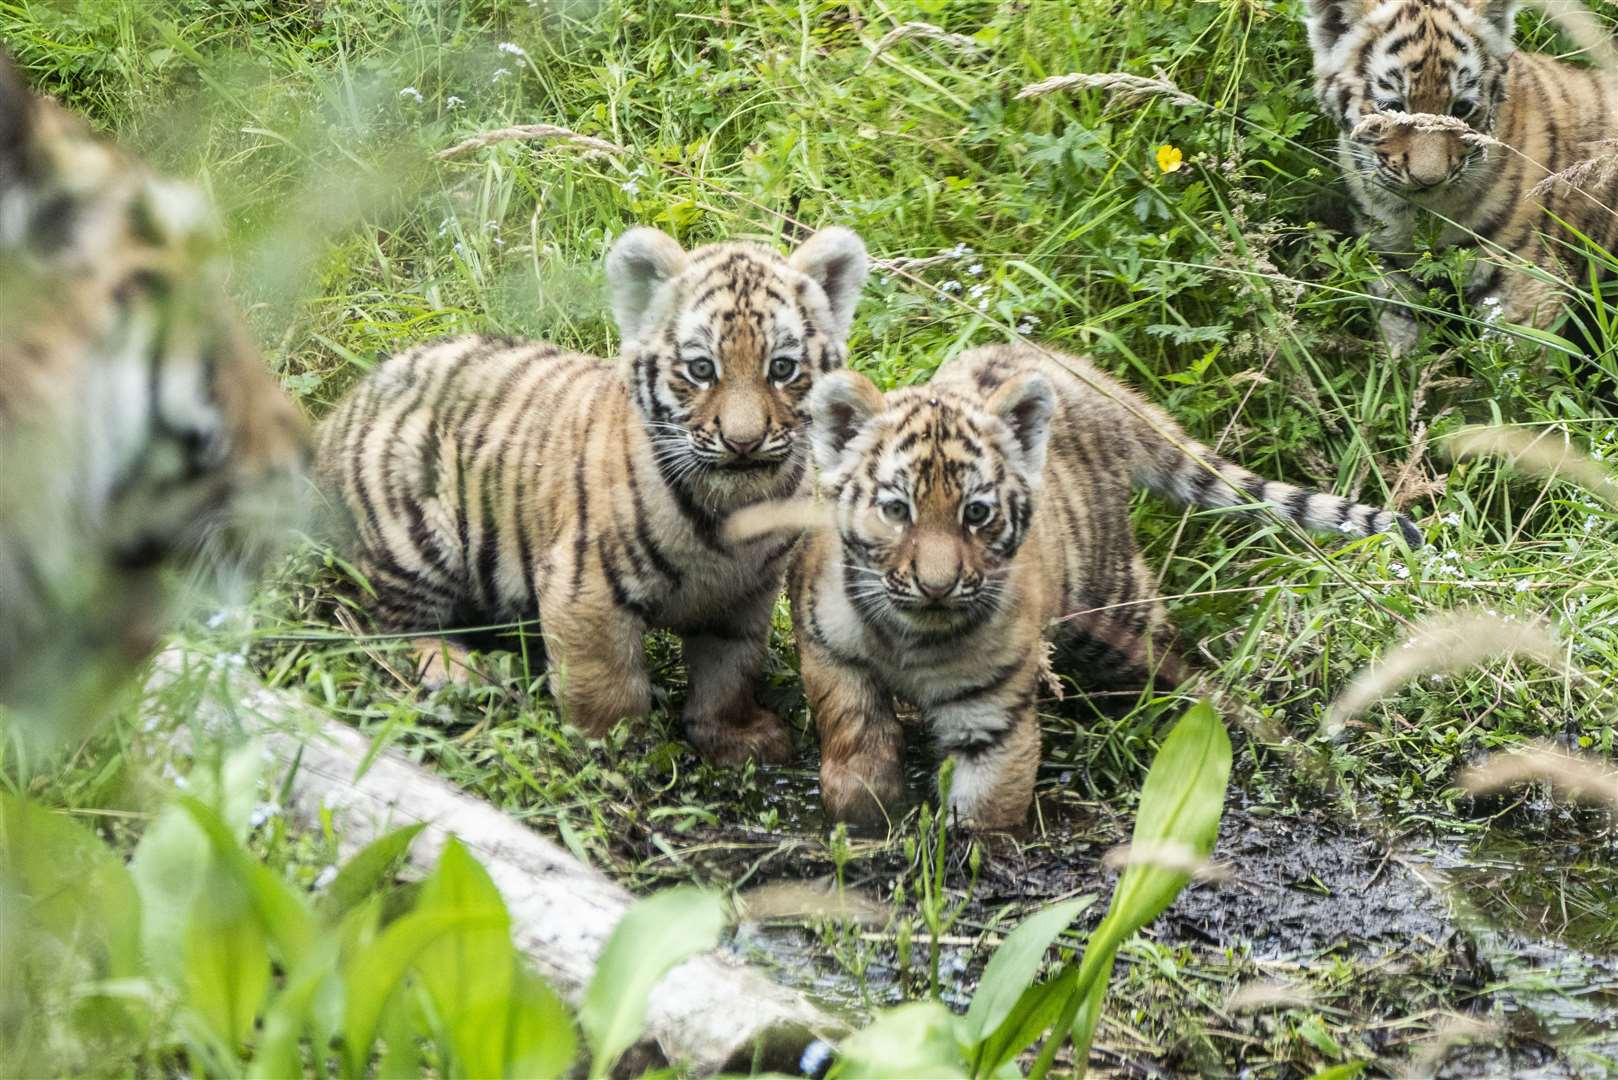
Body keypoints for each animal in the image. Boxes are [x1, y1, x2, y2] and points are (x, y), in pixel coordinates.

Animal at [318, 229, 873, 767]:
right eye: (700, 369)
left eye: (782, 368)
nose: (743, 442)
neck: (735, 512)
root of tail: (340, 410)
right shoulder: (586, 586)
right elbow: (608, 685)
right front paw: (615, 754)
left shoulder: (746, 594)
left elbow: (730, 672)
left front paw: (735, 738)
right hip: (414, 529)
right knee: (379, 627)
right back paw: (453, 670)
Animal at [741, 346, 1423, 829]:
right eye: (896, 510)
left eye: (977, 514)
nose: (937, 587)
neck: (911, 635)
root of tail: (1085, 375)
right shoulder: (830, 652)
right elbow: (853, 738)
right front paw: (864, 819)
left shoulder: (994, 714)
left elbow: (987, 807)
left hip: (1115, 602)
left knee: (1171, 650)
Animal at [1307, 0, 1611, 354]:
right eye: (1391, 106)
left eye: (1462, 108)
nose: (1428, 179)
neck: (1418, 213)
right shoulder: (1391, 269)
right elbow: (1402, 346)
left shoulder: (1527, 280)